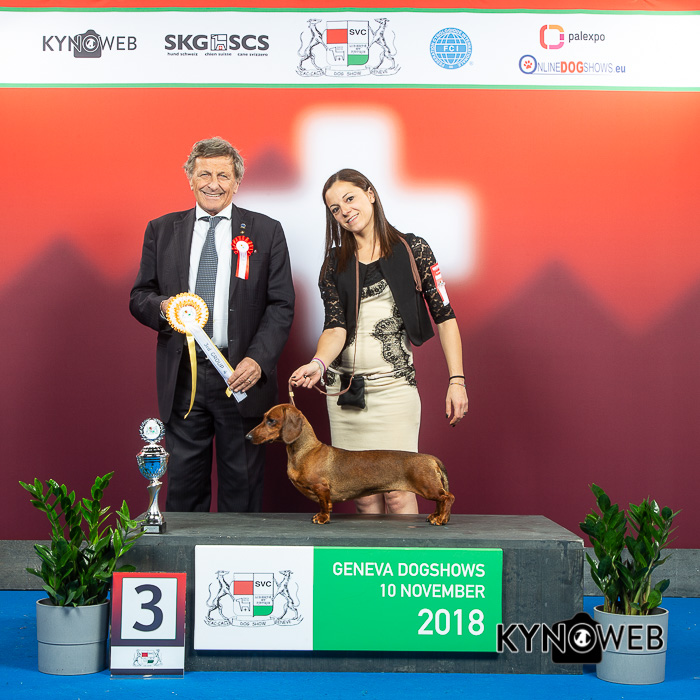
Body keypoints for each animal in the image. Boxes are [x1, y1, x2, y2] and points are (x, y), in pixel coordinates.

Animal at [246, 403, 454, 525]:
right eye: (264, 418)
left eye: (271, 420)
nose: (247, 437)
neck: (307, 450)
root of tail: (431, 458)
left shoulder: (321, 488)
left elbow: (324, 505)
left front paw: (322, 518)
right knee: (441, 500)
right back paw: (435, 516)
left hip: (427, 487)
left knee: (447, 498)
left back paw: (441, 519)